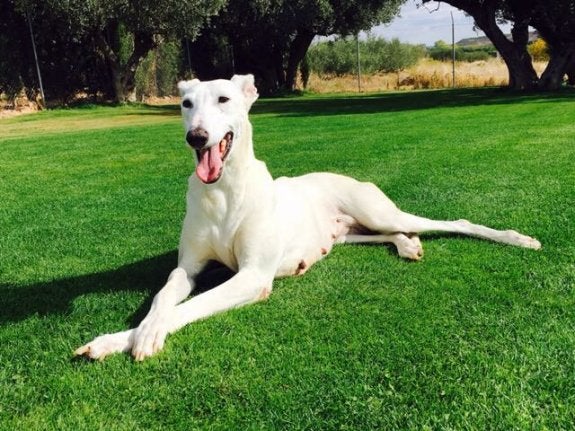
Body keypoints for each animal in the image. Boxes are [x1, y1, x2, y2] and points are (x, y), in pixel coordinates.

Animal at [75, 74, 540, 362]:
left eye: (224, 99)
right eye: (186, 104)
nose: (197, 136)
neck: (223, 192)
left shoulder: (252, 277)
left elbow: (189, 307)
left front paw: (143, 336)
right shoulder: (187, 268)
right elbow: (163, 298)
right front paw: (117, 338)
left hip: (377, 211)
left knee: (454, 223)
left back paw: (517, 239)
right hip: (348, 233)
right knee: (389, 234)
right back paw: (407, 245)